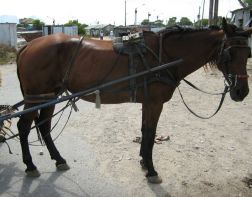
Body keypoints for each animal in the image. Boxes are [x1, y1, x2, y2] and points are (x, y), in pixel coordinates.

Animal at [16, 18, 252, 183]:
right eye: (229, 54)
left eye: (248, 54)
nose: (241, 92)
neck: (164, 55)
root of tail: (28, 46)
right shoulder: (155, 103)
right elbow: (150, 133)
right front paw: (151, 170)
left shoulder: (148, 103)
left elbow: (145, 131)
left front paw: (143, 162)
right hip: (35, 97)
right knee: (24, 126)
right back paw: (30, 165)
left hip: (50, 96)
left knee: (44, 126)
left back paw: (59, 159)